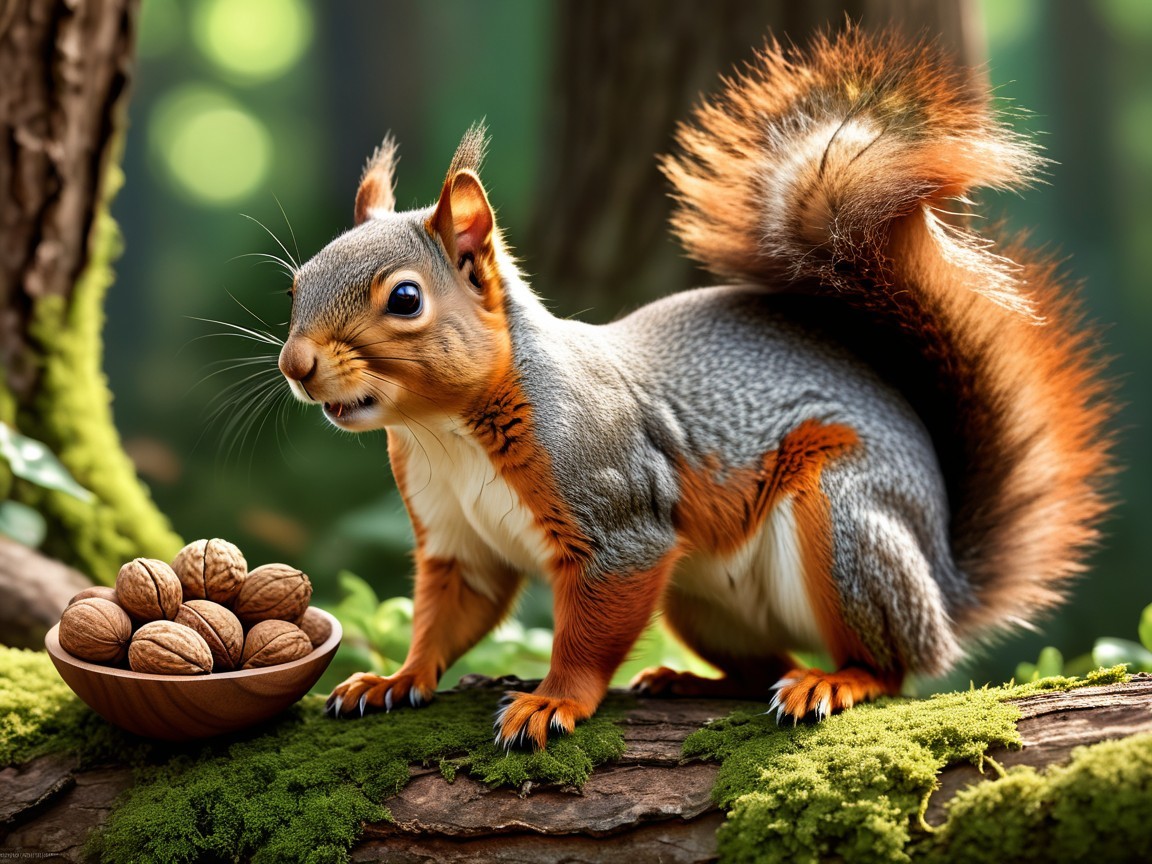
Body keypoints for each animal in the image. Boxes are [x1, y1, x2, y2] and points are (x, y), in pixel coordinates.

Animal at [276, 27, 1112, 748]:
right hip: (696, 595)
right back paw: (690, 680)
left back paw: (836, 681)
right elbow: (448, 618)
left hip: (845, 522)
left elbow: (588, 633)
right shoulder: (456, 542)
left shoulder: (618, 520)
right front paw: (395, 677)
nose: (295, 364)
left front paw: (553, 700)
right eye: (297, 284)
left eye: (405, 298)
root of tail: (944, 583)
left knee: (892, 664)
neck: (446, 430)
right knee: (761, 666)